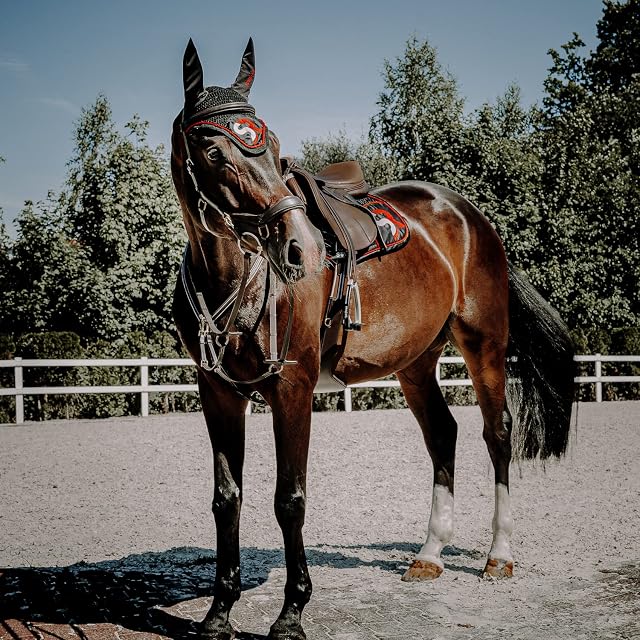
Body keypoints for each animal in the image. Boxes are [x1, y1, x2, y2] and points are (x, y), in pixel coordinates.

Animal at [170, 38, 575, 640]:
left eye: (274, 147)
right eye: (215, 152)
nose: (300, 248)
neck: (235, 278)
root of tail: (469, 215)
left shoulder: (291, 388)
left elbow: (289, 499)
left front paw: (291, 613)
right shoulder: (217, 393)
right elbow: (227, 500)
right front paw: (219, 612)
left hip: (484, 345)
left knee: (497, 434)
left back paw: (499, 555)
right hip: (415, 362)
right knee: (443, 434)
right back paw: (429, 555)